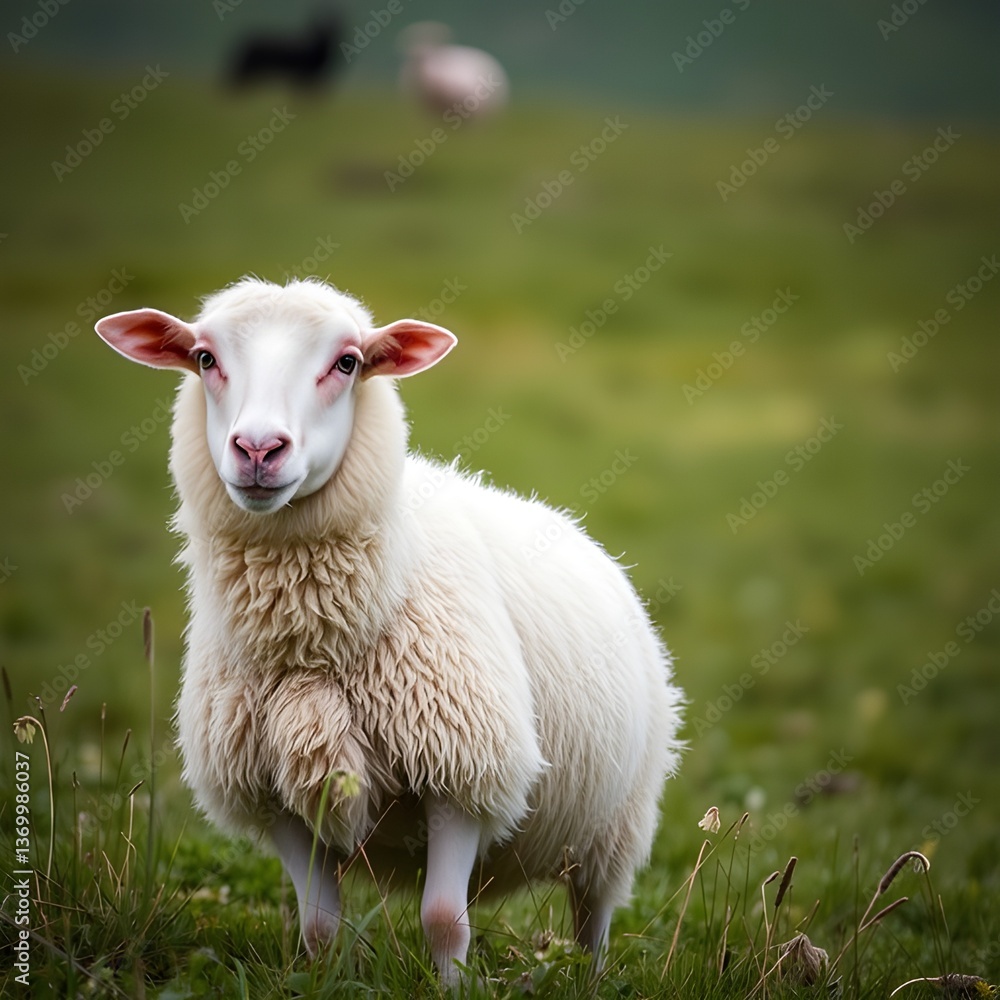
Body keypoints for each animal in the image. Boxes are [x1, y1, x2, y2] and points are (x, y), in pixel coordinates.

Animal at [94, 276, 684, 986]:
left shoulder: (462, 770)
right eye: (205, 359)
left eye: (347, 362)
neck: (312, 652)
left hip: (615, 827)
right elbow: (319, 926)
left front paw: (453, 989)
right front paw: (323, 982)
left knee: (593, 920)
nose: (259, 449)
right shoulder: (273, 792)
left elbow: (444, 919)